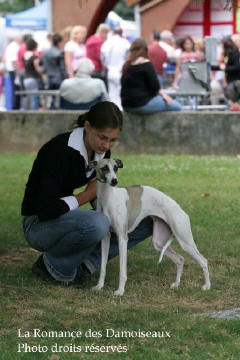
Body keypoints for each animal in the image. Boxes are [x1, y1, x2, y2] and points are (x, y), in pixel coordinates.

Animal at [89, 159, 211, 296]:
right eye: (104, 168)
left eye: (115, 168)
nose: (115, 181)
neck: (108, 198)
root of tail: (182, 211)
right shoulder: (105, 238)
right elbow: (103, 267)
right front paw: (99, 286)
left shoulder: (122, 238)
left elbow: (122, 271)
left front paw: (120, 291)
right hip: (159, 243)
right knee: (180, 259)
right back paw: (176, 284)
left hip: (185, 241)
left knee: (204, 261)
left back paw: (207, 286)